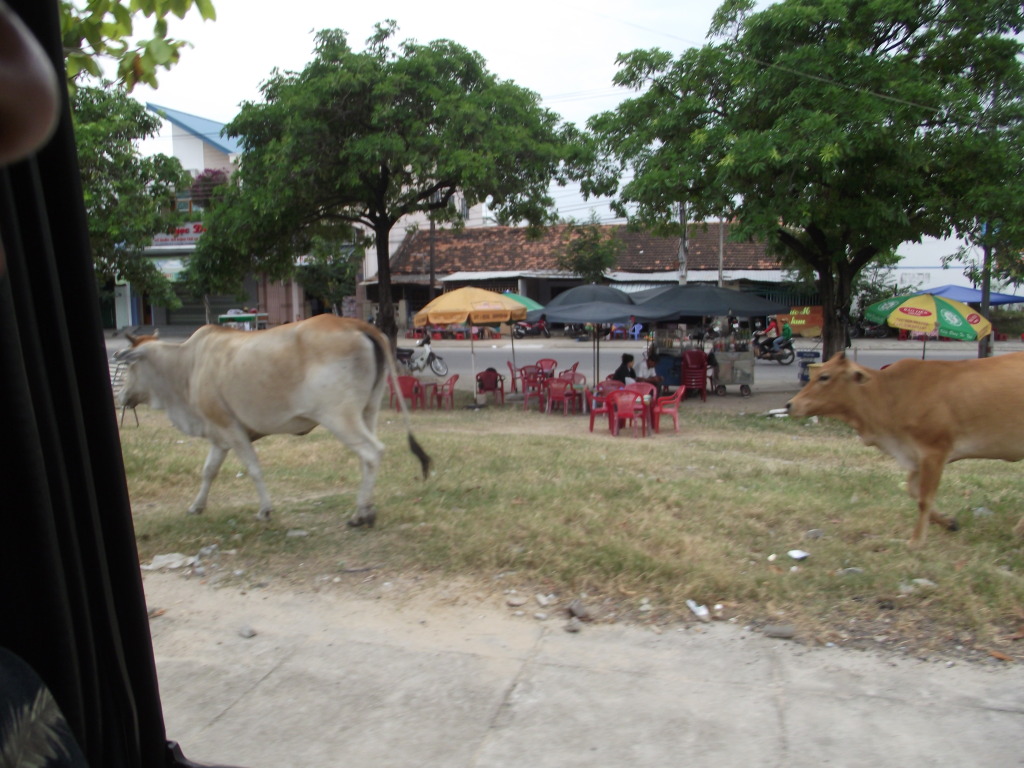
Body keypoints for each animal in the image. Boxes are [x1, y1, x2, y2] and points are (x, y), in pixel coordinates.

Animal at [115, 313, 428, 528]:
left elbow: (253, 469)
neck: (187, 365)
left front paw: (265, 510)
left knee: (372, 452)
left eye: (130, 366)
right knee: (367, 458)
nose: (121, 396)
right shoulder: (219, 436)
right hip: (368, 411)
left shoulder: (230, 428)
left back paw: (361, 513)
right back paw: (366, 508)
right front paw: (196, 506)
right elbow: (209, 471)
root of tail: (355, 324)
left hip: (340, 417)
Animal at [786, 354, 1019, 548]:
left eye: (824, 377)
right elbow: (913, 490)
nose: (789, 404)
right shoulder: (915, 456)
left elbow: (924, 499)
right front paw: (949, 522)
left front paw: (916, 540)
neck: (892, 394)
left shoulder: (934, 452)